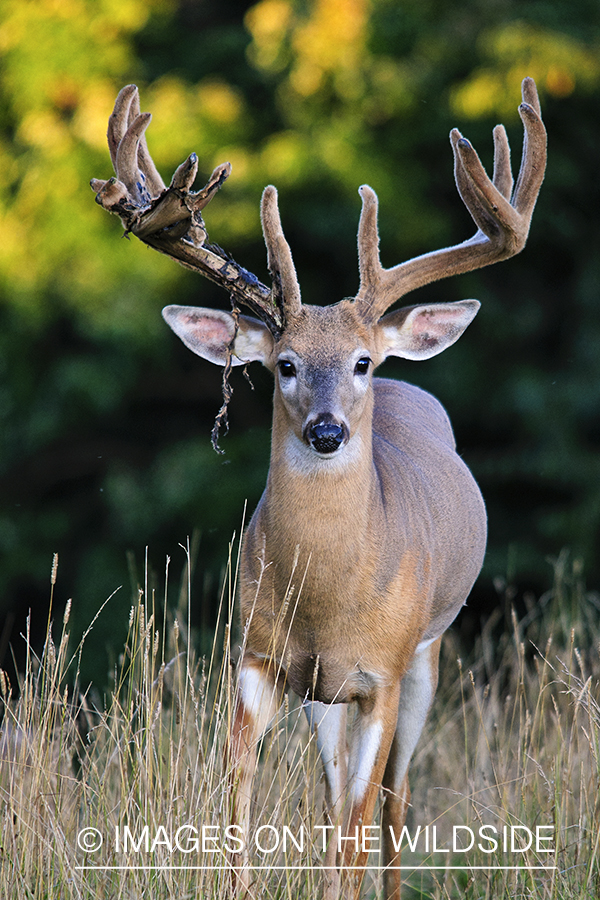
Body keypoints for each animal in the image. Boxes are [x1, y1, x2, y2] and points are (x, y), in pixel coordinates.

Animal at [92, 79, 544, 900]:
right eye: (286, 364)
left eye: (361, 361)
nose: (327, 431)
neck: (330, 598)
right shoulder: (258, 657)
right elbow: (238, 805)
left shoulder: (381, 673)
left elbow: (360, 824)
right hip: (321, 696)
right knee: (336, 796)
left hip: (427, 653)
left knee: (392, 801)